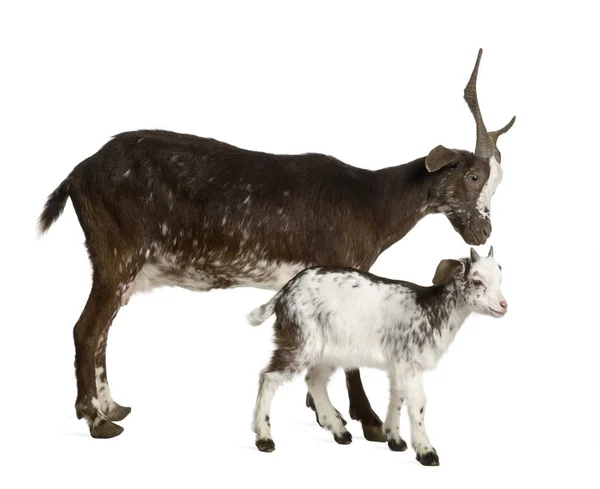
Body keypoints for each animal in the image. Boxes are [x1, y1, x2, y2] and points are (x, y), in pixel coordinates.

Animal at [38, 49, 516, 438]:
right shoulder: (344, 267)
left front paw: (322, 411)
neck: (370, 200)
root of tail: (78, 173)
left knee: (102, 330)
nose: (483, 232)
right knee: (86, 329)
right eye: (474, 175)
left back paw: (113, 407)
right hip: (117, 255)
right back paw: (96, 421)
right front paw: (367, 422)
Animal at [248, 246, 506, 464]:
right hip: (301, 340)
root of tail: (284, 293)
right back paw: (264, 438)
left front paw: (395, 440)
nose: (504, 305)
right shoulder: (409, 363)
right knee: (269, 377)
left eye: (500, 278)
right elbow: (418, 403)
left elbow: (397, 396)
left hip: (327, 350)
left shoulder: (398, 364)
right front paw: (426, 452)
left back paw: (340, 432)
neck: (430, 310)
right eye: (477, 281)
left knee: (315, 380)